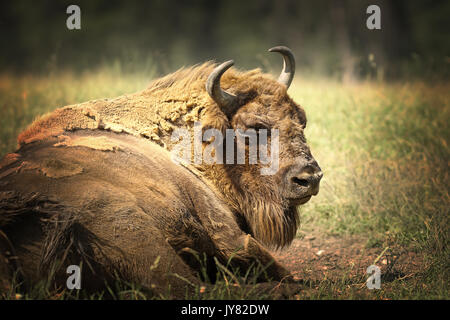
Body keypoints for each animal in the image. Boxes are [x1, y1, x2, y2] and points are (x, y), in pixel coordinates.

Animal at [0, 46, 324, 298]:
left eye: (302, 120)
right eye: (255, 127)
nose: (309, 178)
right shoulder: (227, 233)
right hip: (131, 226)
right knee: (190, 289)